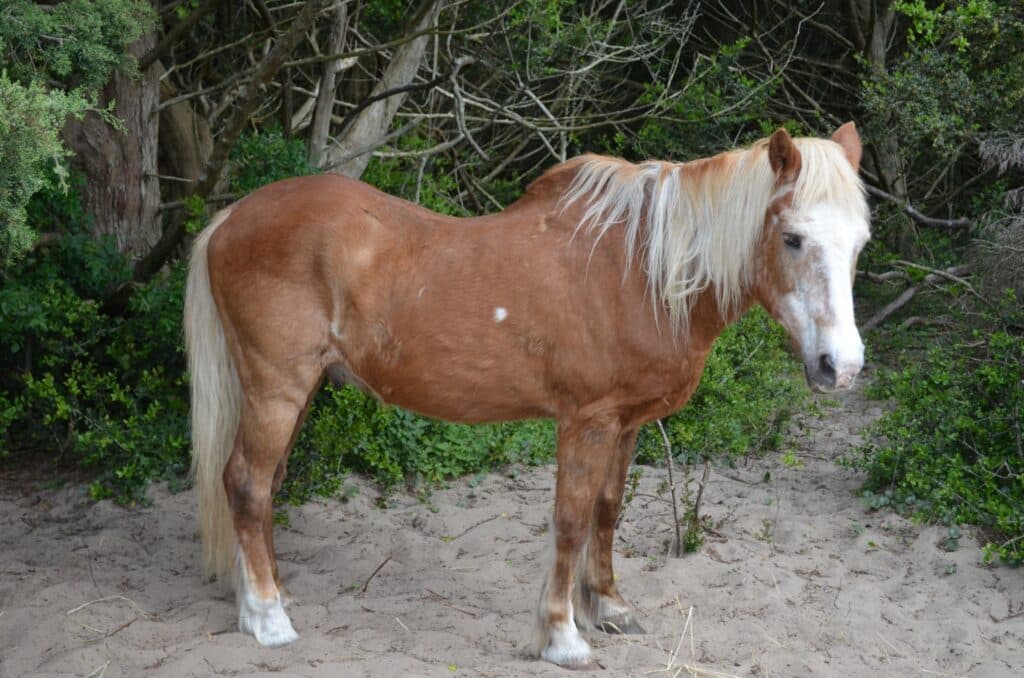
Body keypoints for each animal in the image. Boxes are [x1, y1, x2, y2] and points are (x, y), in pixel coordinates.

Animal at [184, 123, 870, 669]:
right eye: (793, 238)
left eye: (859, 243)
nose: (841, 367)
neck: (641, 271)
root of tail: (229, 220)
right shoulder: (586, 421)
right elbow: (569, 521)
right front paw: (563, 636)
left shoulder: (625, 424)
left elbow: (606, 512)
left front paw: (610, 607)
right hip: (277, 389)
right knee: (247, 483)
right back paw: (269, 620)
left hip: (295, 393)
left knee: (261, 487)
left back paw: (267, 600)